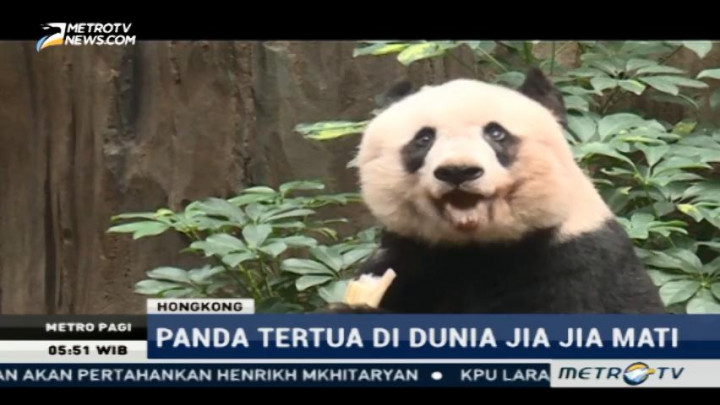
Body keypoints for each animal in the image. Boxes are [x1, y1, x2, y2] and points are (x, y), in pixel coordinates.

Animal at [337, 68, 665, 314]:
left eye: (496, 133)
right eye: (424, 138)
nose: (458, 171)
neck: (475, 245)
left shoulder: (578, 260)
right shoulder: (409, 254)